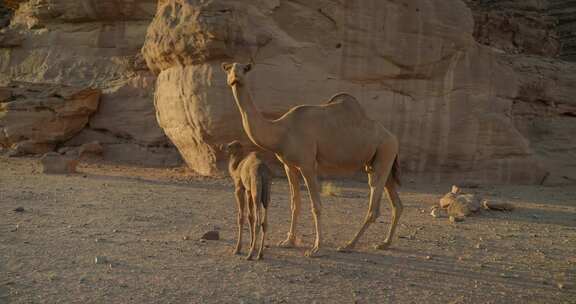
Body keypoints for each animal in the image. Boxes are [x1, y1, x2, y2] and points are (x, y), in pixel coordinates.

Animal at [223, 62, 402, 256]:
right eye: (229, 69)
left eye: (244, 69)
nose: (235, 78)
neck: (282, 131)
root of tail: (394, 138)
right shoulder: (289, 166)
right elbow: (295, 203)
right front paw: (288, 241)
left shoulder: (307, 164)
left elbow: (316, 205)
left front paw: (316, 247)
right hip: (380, 161)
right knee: (396, 203)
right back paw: (384, 243)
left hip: (385, 152)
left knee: (374, 204)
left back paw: (348, 245)